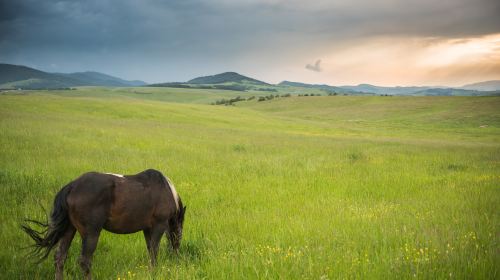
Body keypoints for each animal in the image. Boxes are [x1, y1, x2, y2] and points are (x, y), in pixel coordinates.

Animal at [21, 168, 186, 280]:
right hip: (91, 233)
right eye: (180, 231)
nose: (177, 255)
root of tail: (72, 186)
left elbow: (150, 250)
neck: (166, 189)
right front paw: (154, 273)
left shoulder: (147, 229)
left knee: (60, 257)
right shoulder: (158, 225)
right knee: (84, 261)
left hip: (69, 229)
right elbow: (154, 252)